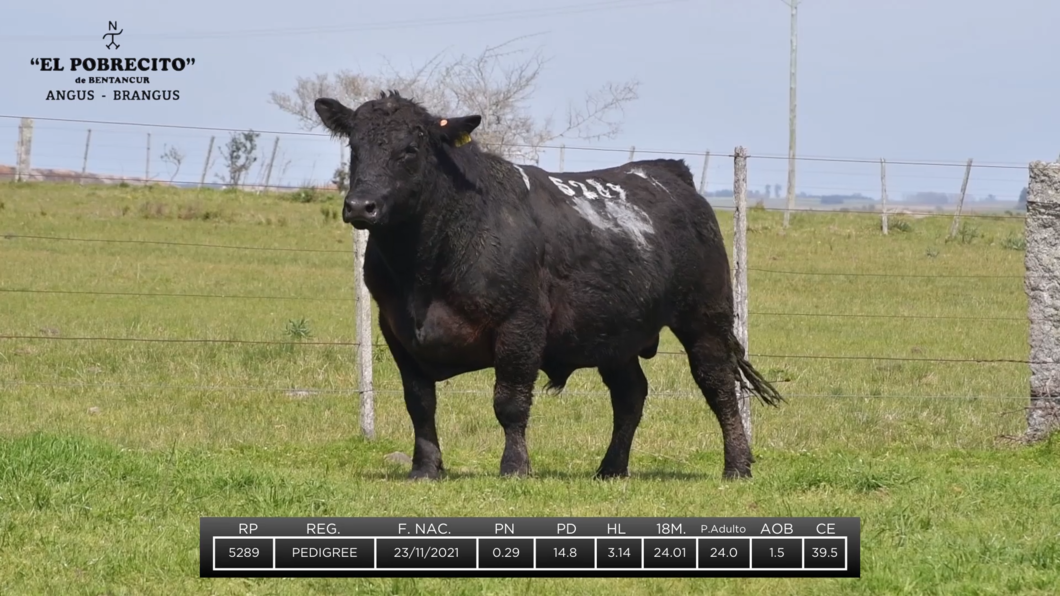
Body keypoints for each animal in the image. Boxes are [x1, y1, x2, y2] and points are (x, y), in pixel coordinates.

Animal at [309, 91, 784, 477]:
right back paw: (611, 468)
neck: (424, 269)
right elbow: (419, 403)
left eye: (409, 149)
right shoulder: (395, 329)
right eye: (355, 147)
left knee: (718, 385)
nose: (361, 206)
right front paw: (425, 469)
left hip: (706, 317)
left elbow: (509, 401)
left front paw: (515, 467)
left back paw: (737, 465)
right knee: (630, 395)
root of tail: (666, 172)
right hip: (614, 334)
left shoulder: (520, 324)